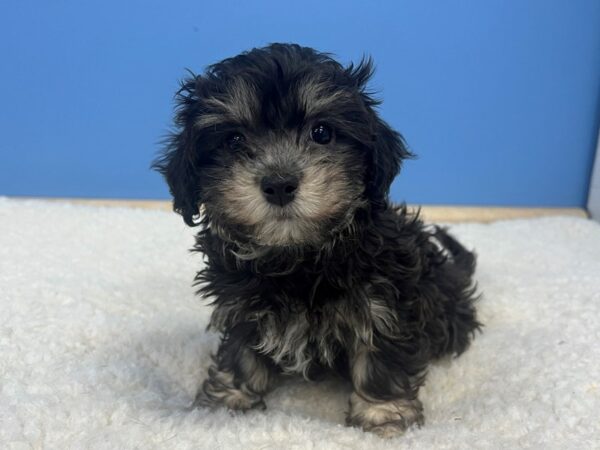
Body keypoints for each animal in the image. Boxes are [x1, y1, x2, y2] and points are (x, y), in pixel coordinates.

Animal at [154, 44, 478, 438]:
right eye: (233, 140)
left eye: (321, 133)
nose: (279, 184)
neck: (300, 257)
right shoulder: (241, 304)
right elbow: (241, 351)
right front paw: (226, 403)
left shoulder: (384, 301)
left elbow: (380, 355)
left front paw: (382, 415)